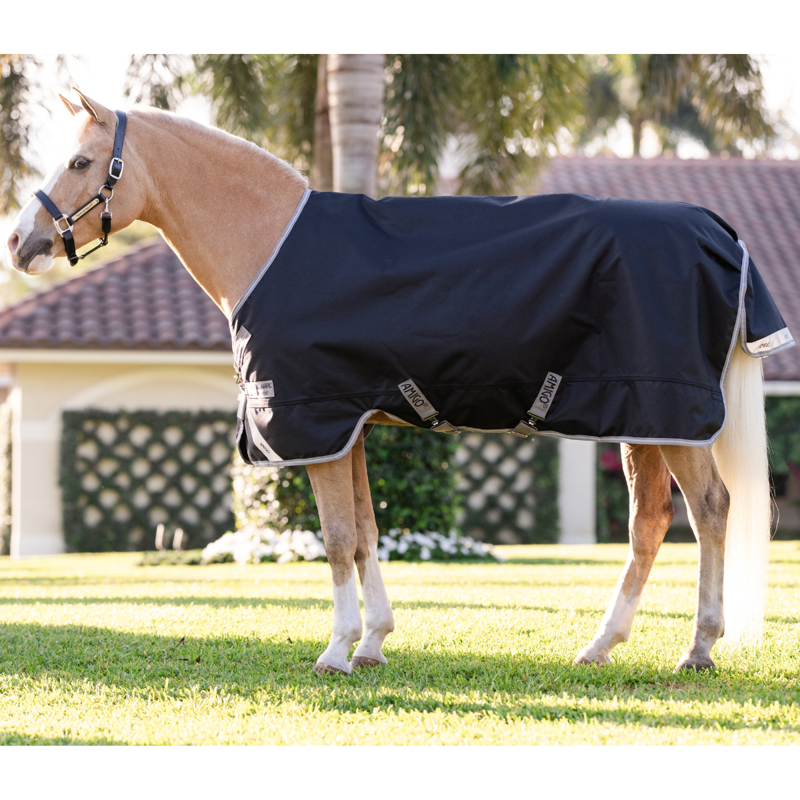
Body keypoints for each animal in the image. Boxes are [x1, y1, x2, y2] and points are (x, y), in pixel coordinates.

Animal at [6, 90, 776, 675]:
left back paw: (698, 649)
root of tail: (717, 231)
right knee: (651, 522)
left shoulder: (315, 424)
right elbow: (368, 532)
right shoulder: (349, 428)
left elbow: (336, 537)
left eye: (80, 162)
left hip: (670, 415)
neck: (269, 242)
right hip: (643, 418)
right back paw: (600, 646)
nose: (19, 243)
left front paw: (337, 650)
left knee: (710, 509)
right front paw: (374, 642)